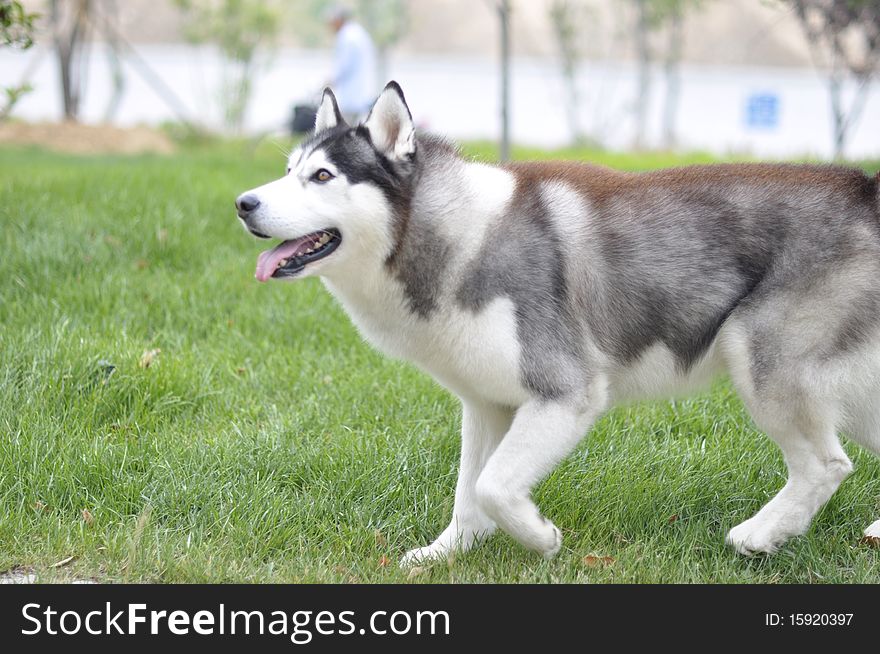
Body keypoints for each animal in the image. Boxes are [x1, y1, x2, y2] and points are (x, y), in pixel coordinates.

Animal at [235, 82, 880, 564]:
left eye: (322, 176)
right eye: (288, 169)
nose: (243, 203)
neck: (457, 239)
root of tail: (864, 187)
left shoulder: (566, 393)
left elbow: (494, 485)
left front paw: (540, 538)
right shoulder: (486, 403)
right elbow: (469, 490)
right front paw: (448, 553)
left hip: (763, 364)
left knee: (828, 465)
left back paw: (760, 536)